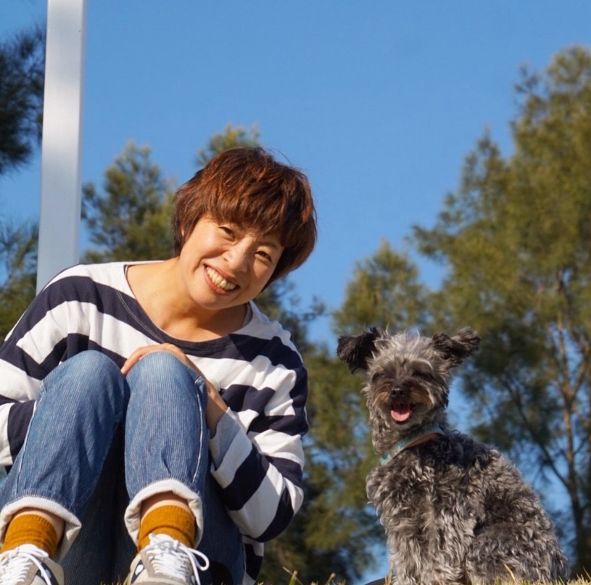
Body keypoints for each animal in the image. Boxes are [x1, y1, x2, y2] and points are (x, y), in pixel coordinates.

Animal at [337, 327, 568, 585]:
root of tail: (557, 569)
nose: (398, 390)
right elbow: (408, 561)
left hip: (488, 544)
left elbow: (440, 558)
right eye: (382, 373)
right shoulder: (401, 519)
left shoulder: (448, 511)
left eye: (421, 372)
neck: (413, 445)